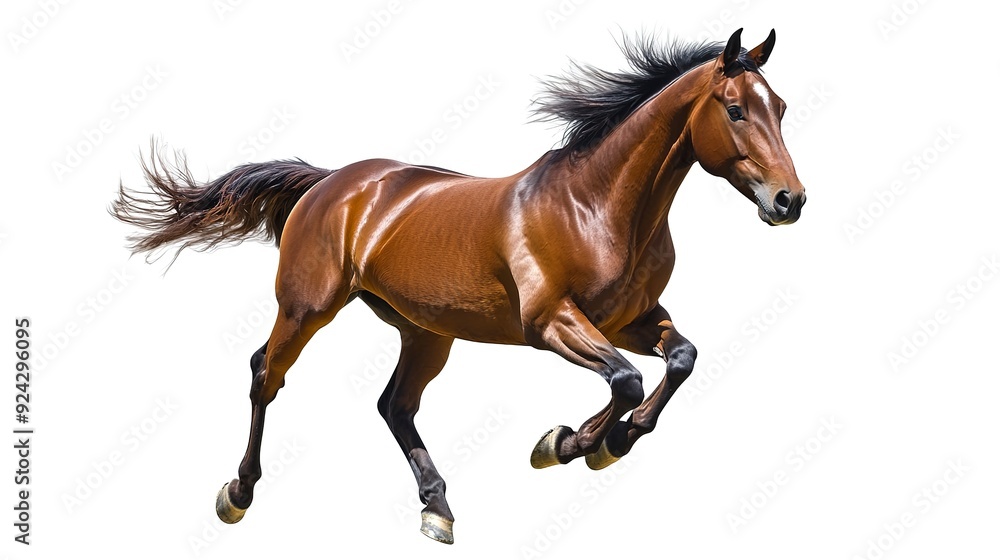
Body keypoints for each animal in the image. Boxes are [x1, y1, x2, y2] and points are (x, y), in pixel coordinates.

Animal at [111, 28, 805, 544]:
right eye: (736, 110)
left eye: (781, 108)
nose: (789, 200)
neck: (596, 207)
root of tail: (331, 181)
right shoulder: (550, 322)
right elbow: (626, 379)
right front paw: (571, 443)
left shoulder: (631, 320)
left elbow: (680, 359)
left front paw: (604, 440)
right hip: (307, 307)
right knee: (266, 374)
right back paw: (239, 492)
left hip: (426, 331)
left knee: (395, 404)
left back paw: (437, 509)